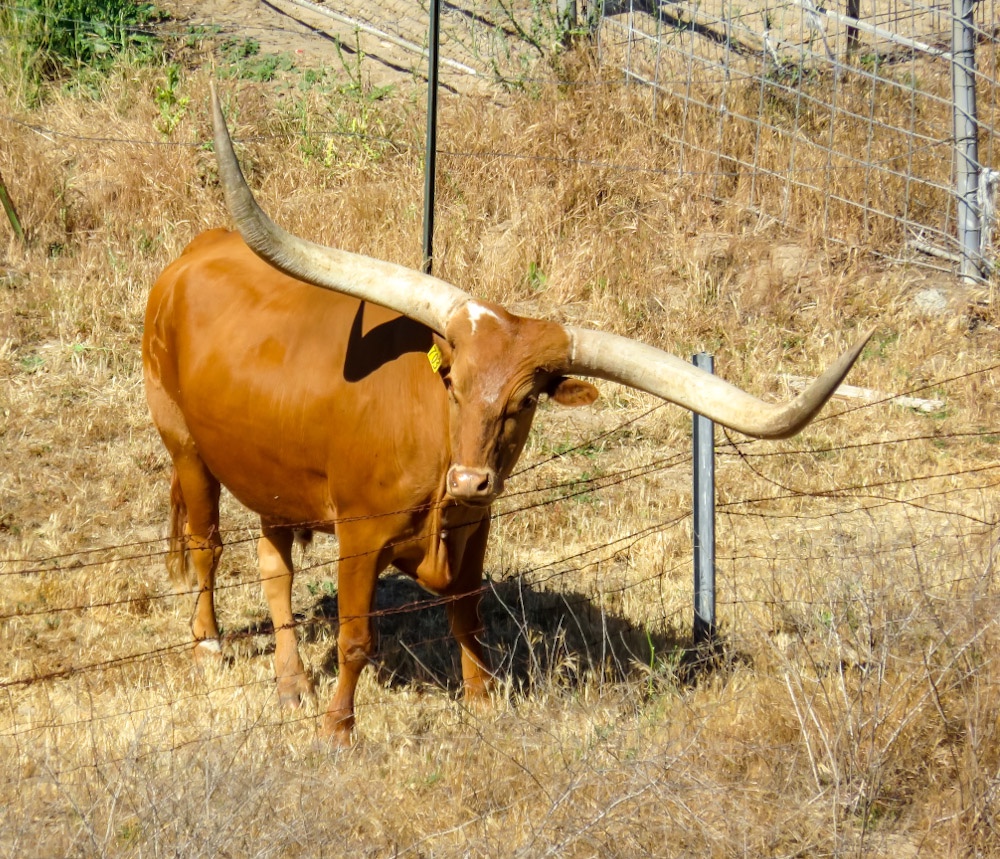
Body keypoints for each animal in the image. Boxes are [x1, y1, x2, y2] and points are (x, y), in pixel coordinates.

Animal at [145, 87, 872, 744]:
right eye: (454, 385)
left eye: (524, 401)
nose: (472, 481)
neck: (439, 467)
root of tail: (198, 249)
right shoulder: (360, 533)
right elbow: (355, 640)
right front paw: (339, 730)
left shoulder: (477, 531)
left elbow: (468, 619)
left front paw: (483, 701)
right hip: (184, 444)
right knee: (209, 544)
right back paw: (209, 644)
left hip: (273, 474)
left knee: (274, 564)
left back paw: (292, 682)